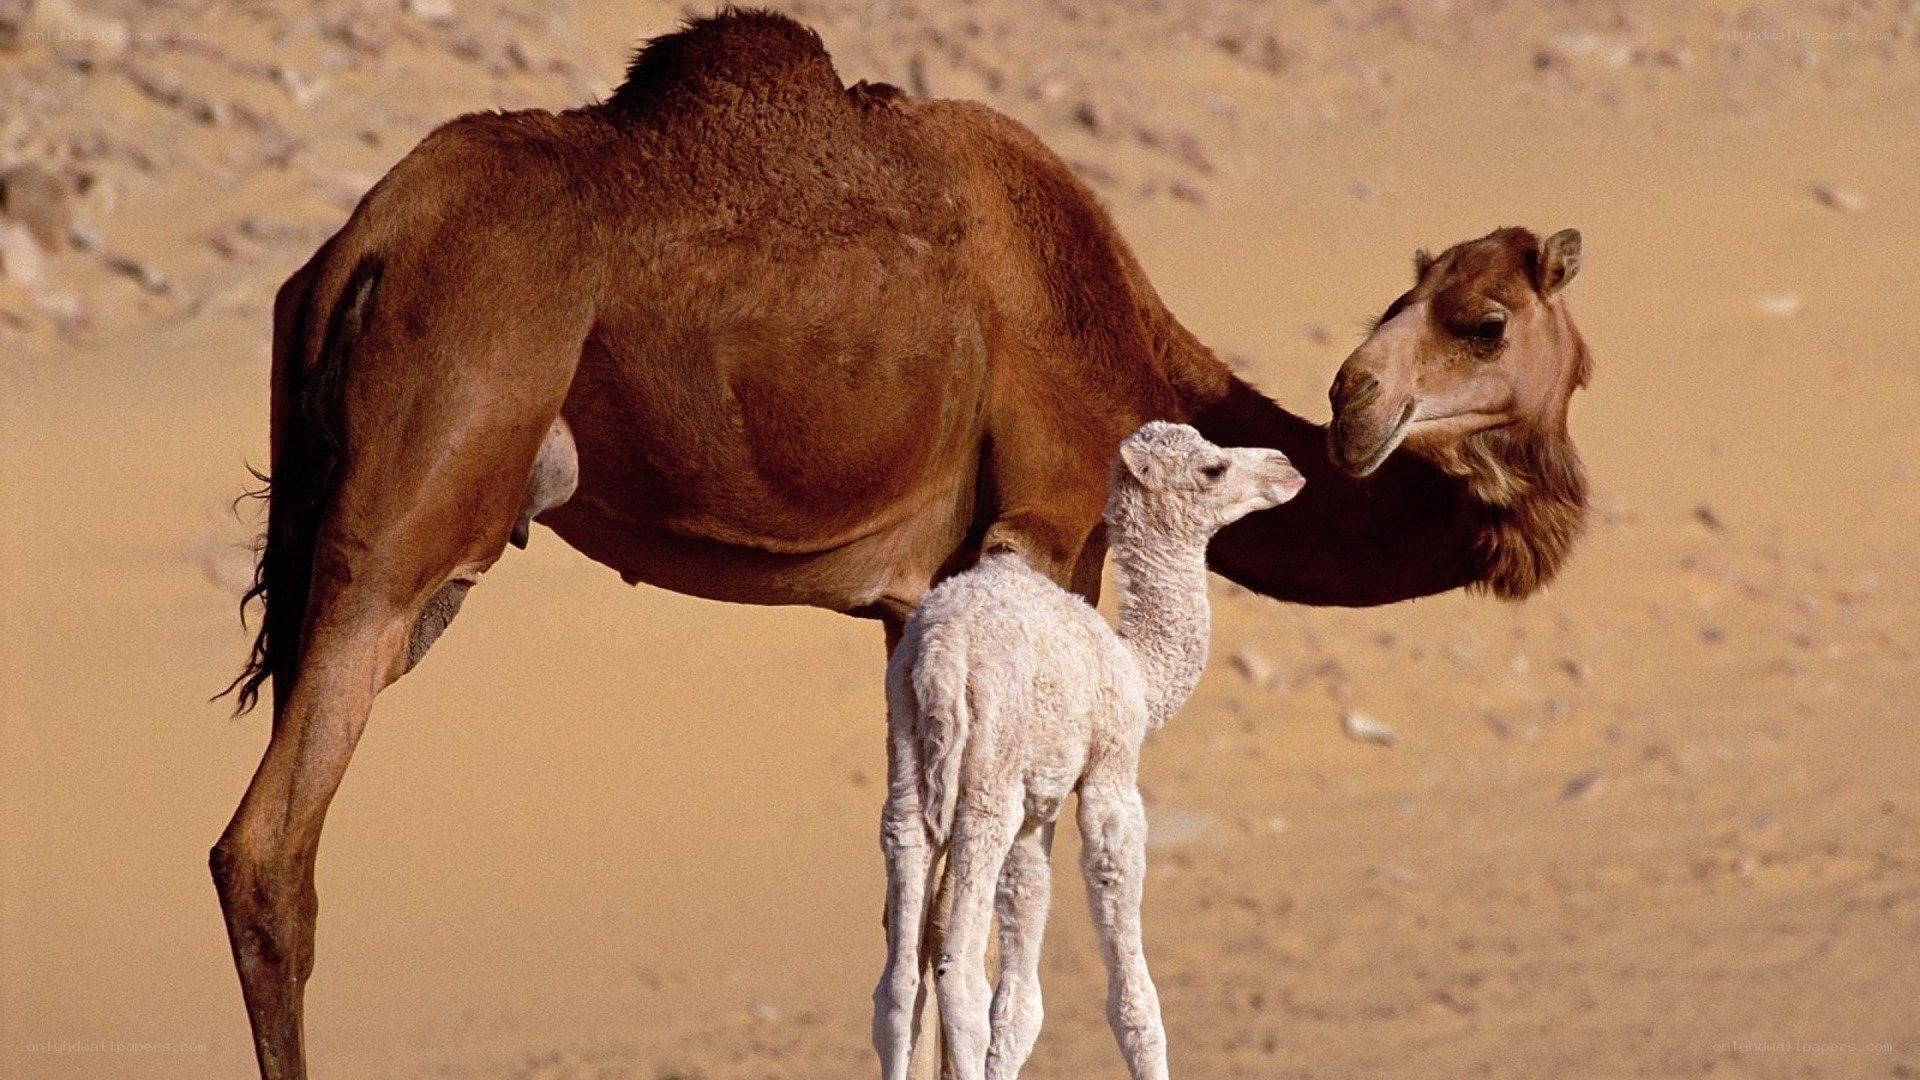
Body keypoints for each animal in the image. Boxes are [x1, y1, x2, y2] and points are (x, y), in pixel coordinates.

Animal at [876, 423, 1305, 1080]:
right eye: (1213, 468)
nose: (1286, 466)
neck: (1136, 668)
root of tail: (943, 650)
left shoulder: (1039, 808)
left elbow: (1020, 1001)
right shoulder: (1111, 776)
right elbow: (1134, 998)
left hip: (907, 747)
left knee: (898, 981)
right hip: (988, 773)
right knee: (959, 976)